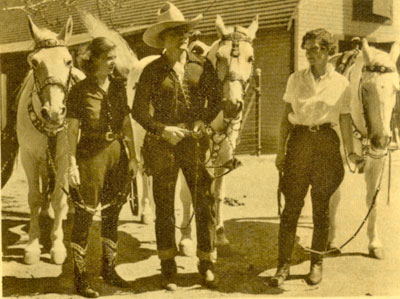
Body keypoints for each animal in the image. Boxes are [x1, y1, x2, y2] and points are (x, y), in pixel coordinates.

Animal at [16, 16, 85, 264]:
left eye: (67, 61)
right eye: (34, 62)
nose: (54, 112)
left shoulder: (64, 156)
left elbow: (58, 199)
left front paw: (57, 247)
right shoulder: (28, 156)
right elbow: (35, 198)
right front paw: (32, 246)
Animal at [328, 38, 400, 258]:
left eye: (396, 90)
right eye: (366, 89)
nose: (382, 140)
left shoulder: (377, 161)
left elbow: (372, 200)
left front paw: (374, 243)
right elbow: (334, 197)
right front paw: (331, 241)